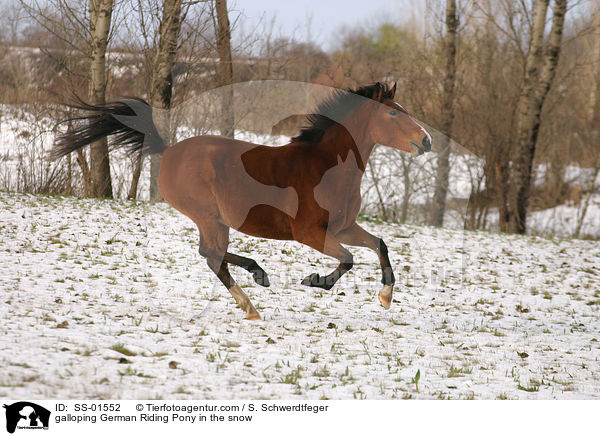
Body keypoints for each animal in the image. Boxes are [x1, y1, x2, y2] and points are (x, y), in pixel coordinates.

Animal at [52, 82, 432, 320]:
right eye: (394, 114)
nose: (427, 140)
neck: (326, 168)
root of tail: (169, 150)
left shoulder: (343, 227)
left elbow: (379, 244)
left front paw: (385, 298)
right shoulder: (309, 233)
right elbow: (350, 259)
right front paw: (315, 281)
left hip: (216, 220)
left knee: (212, 256)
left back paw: (254, 290)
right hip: (207, 215)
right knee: (211, 255)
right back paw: (255, 290)